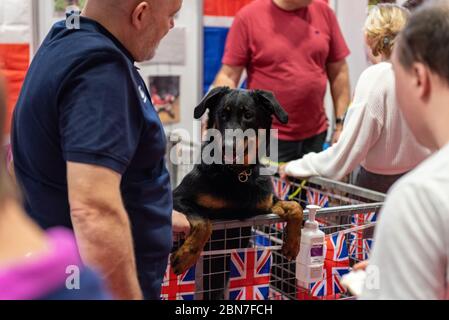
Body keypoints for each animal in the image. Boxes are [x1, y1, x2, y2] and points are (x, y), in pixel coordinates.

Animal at [170, 87, 302, 278]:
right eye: (222, 114)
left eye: (248, 115)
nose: (227, 146)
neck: (237, 173)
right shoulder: (177, 198)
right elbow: (204, 222)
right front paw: (186, 256)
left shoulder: (264, 206)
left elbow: (295, 206)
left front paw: (293, 244)